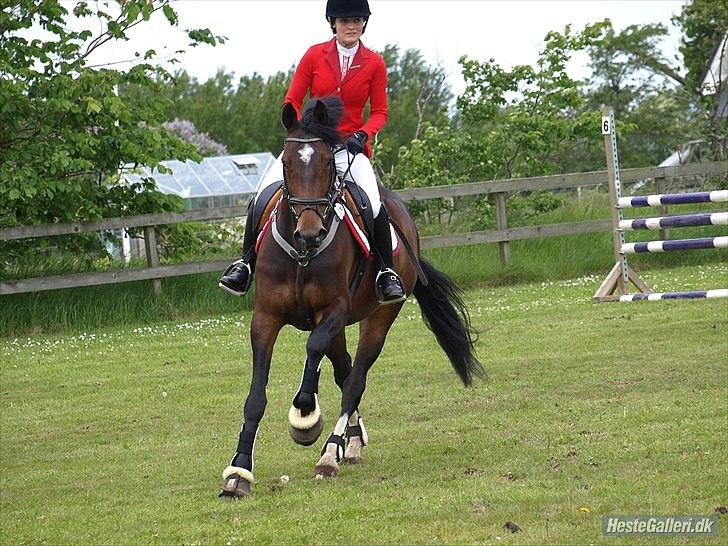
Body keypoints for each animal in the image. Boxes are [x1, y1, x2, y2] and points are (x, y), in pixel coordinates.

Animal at [222, 95, 484, 496]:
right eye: (285, 163)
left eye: (328, 163)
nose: (309, 233)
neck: (303, 256)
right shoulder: (265, 317)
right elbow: (255, 396)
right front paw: (238, 471)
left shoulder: (333, 311)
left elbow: (314, 352)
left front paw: (305, 417)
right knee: (344, 373)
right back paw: (351, 441)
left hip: (377, 318)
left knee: (354, 380)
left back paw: (331, 453)